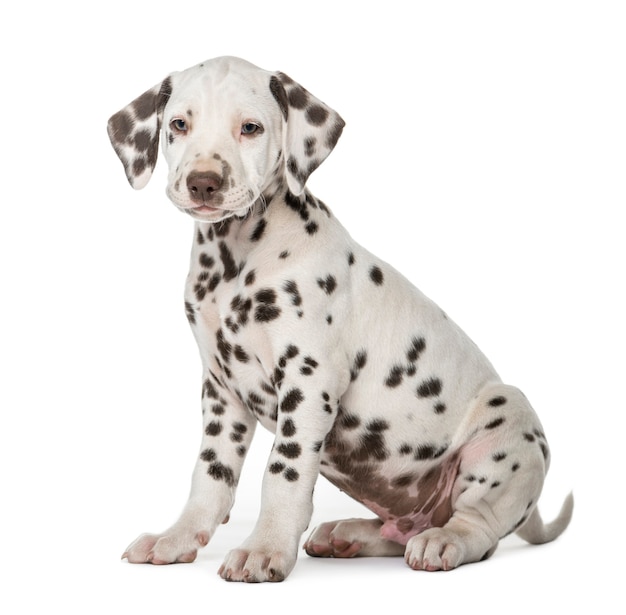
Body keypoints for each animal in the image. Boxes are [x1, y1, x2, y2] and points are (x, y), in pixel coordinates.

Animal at [106, 56, 572, 584]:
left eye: (250, 128)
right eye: (179, 125)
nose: (204, 182)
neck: (234, 258)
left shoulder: (309, 381)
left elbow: (283, 473)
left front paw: (264, 548)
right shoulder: (221, 389)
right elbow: (210, 473)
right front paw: (178, 537)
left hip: (506, 422)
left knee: (479, 527)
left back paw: (444, 541)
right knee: (402, 530)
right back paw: (348, 533)